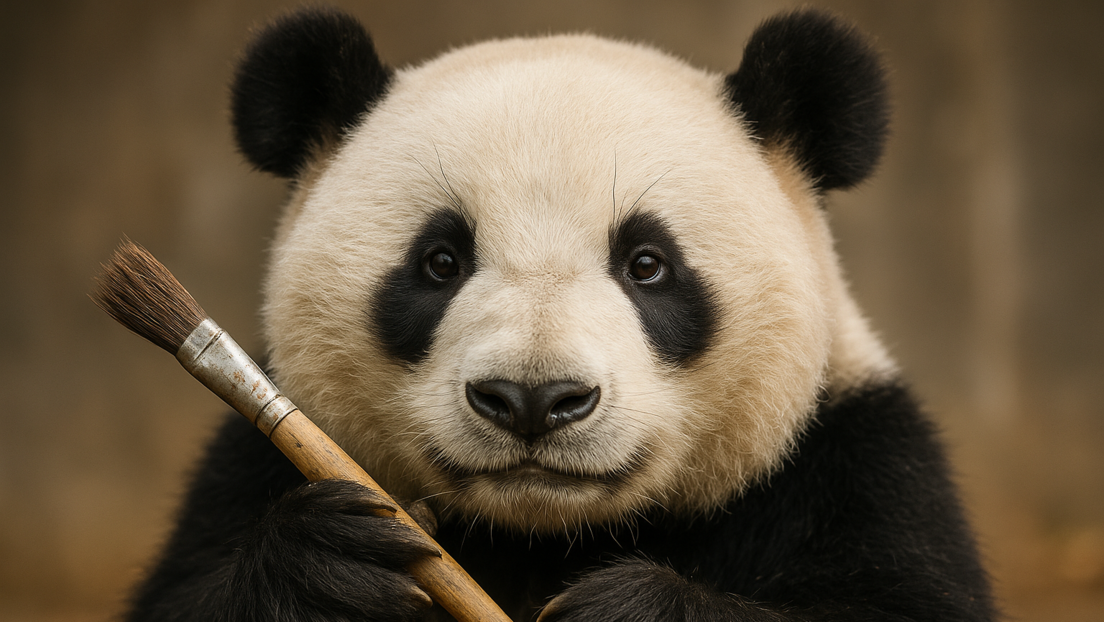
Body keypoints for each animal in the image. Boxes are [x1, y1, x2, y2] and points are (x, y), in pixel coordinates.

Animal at [125, 6, 996, 622]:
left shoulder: (852, 460)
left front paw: (630, 609)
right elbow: (181, 594)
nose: (533, 400)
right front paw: (329, 570)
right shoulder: (247, 466)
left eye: (647, 265)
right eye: (440, 261)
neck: (548, 534)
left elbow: (902, 601)